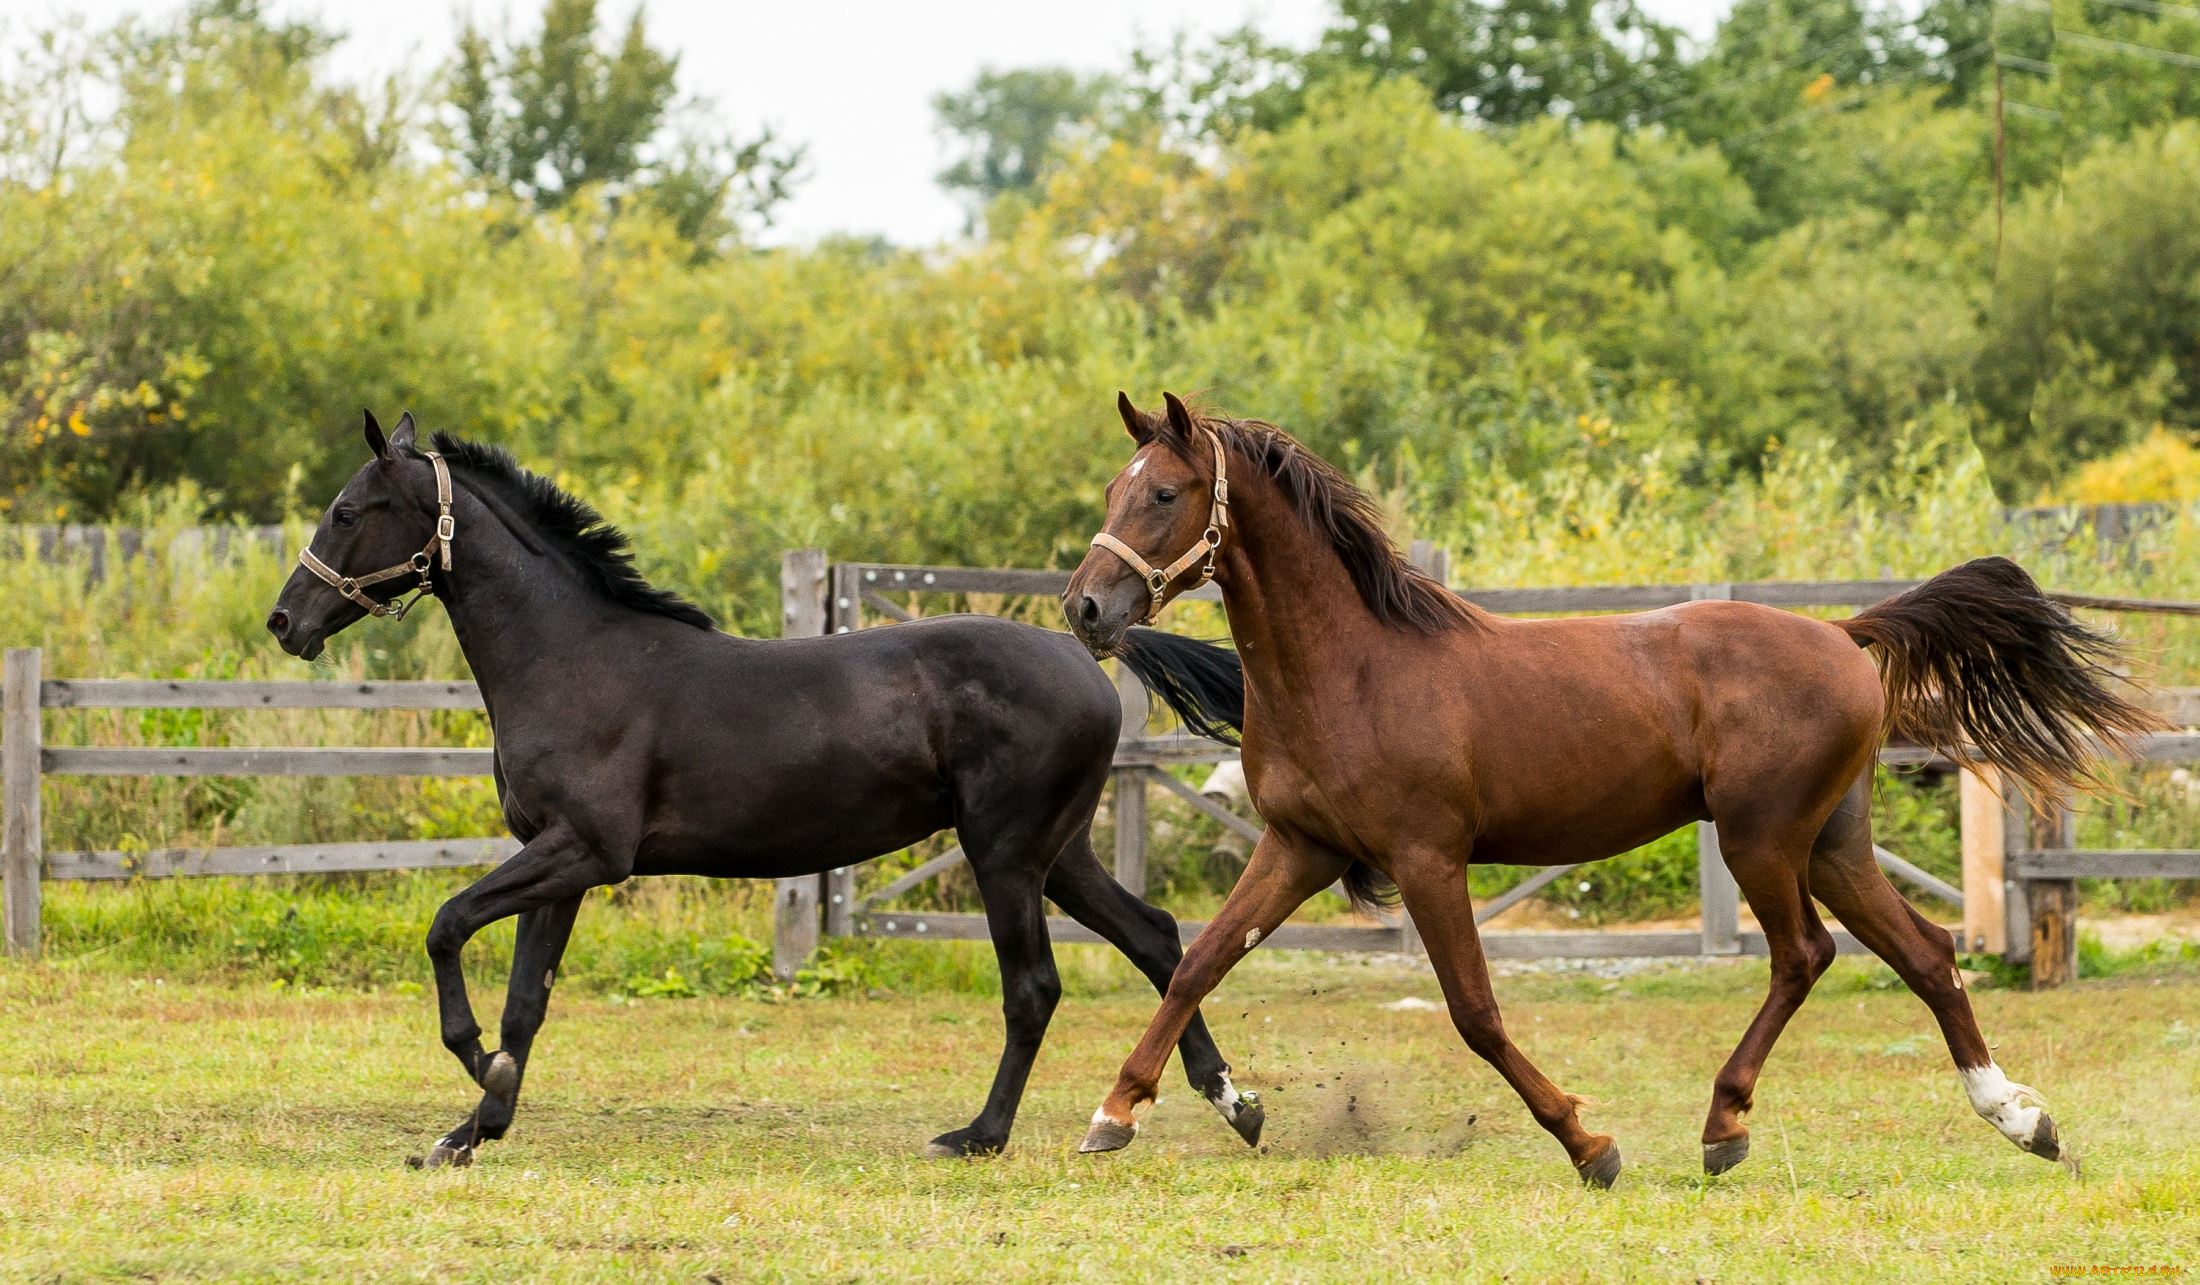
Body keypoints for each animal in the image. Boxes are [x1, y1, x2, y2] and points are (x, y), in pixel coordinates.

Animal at [261, 411, 1258, 1161]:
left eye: (347, 510)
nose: (284, 621)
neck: (572, 659)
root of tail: (1087, 651)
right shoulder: (560, 862)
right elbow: (526, 1001)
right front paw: (475, 1127)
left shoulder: (584, 849)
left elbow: (447, 926)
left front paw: (475, 1070)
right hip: (1058, 852)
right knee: (1158, 936)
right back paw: (1225, 1102)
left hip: (1005, 853)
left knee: (1035, 986)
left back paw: (980, 1134)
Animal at [1056, 391, 2156, 1188]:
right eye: (1113, 486)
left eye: (1164, 493)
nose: (1084, 608)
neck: (1350, 668)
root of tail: (1843, 635)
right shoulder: (1300, 847)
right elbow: (1197, 962)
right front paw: (1131, 1112)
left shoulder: (1427, 857)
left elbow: (1475, 1013)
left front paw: (1591, 1146)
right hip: (1832, 842)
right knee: (1924, 953)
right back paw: (2020, 1117)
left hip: (1762, 839)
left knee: (1804, 955)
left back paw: (1723, 1125)